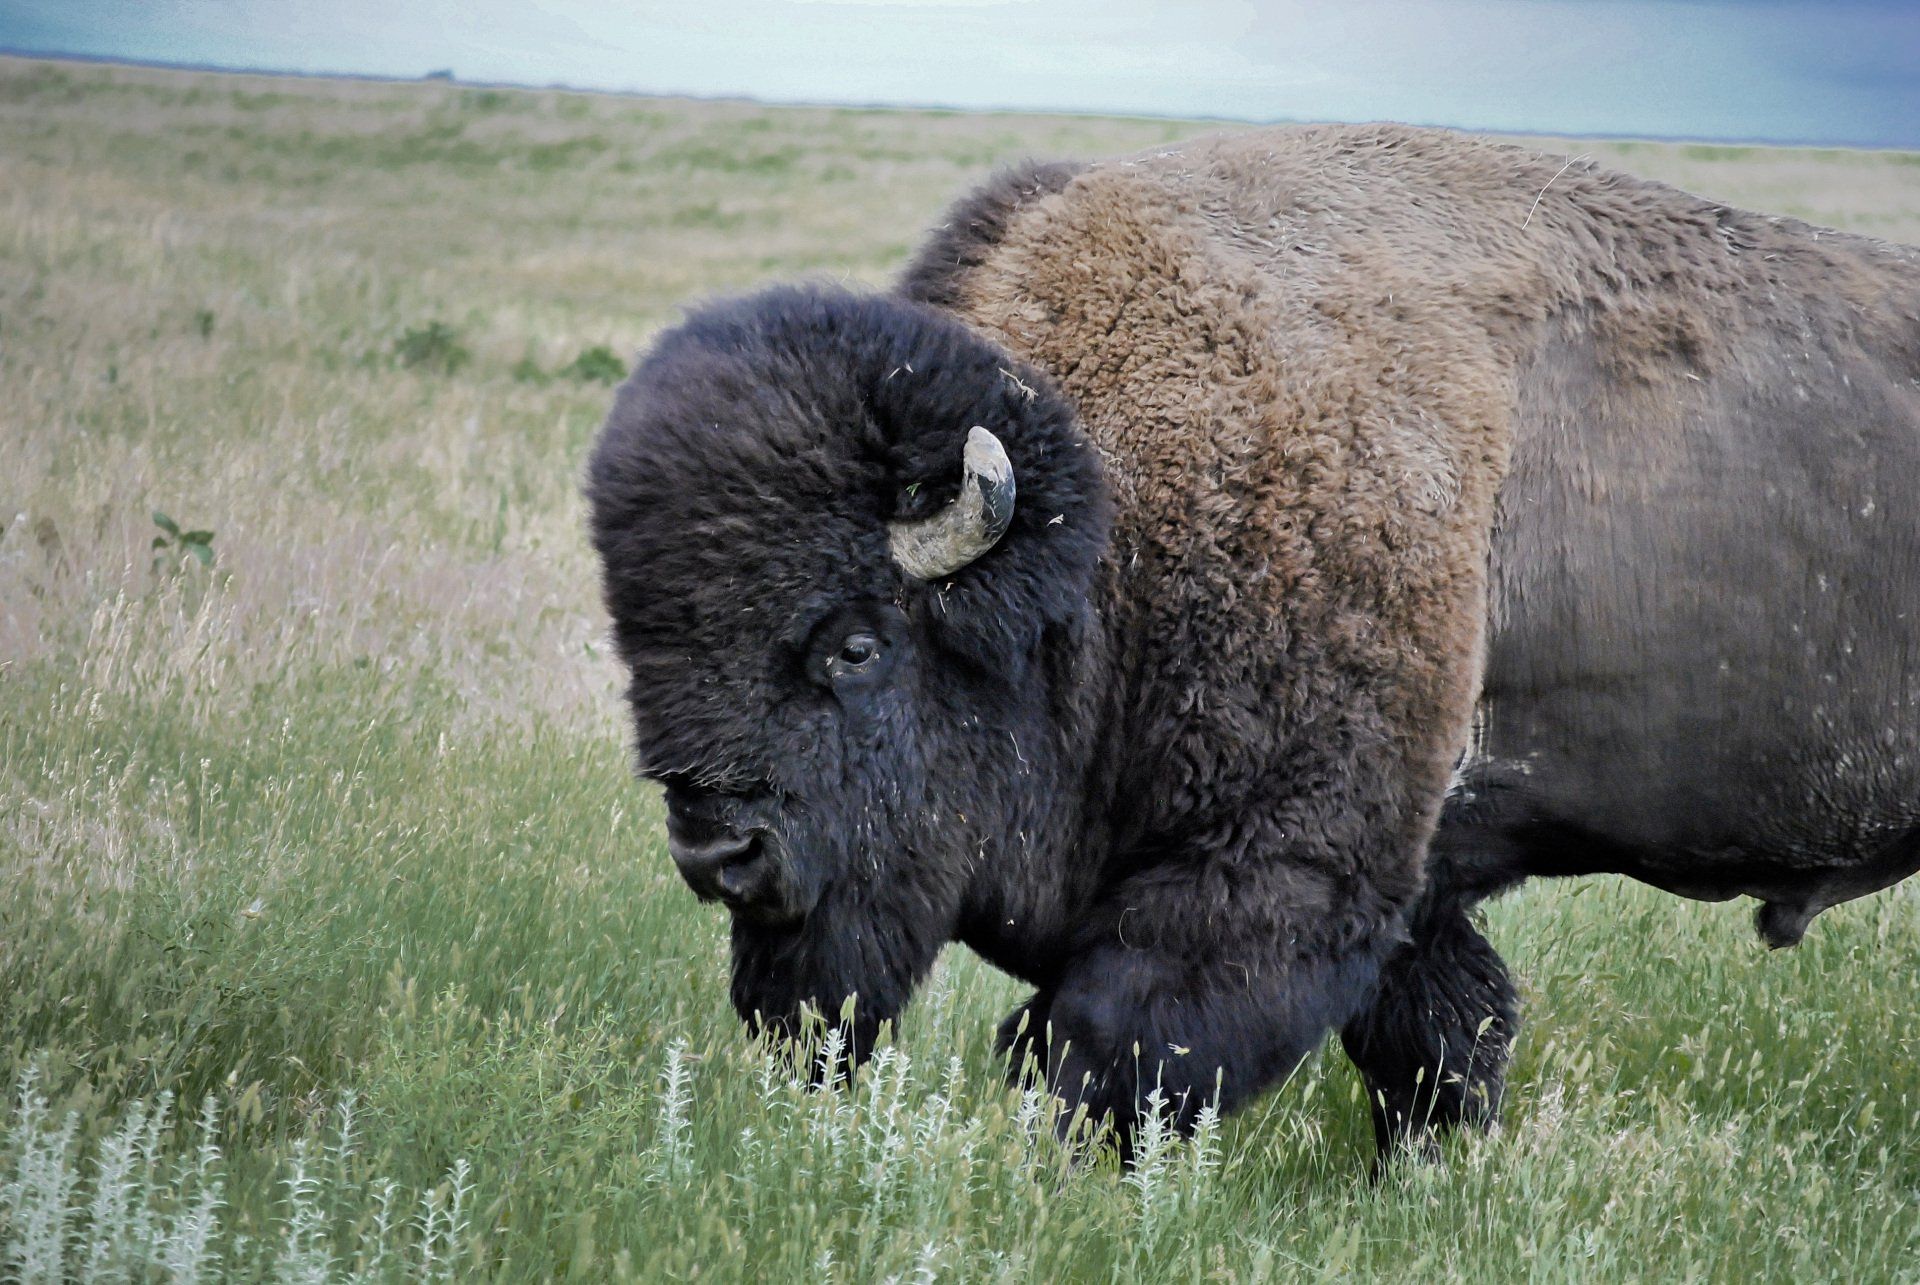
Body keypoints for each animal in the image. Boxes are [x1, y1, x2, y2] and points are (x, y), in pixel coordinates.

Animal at [587, 125, 1920, 1159]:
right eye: (640, 643)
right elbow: (1444, 1041)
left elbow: (1102, 1052)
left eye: (858, 645)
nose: (718, 851)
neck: (1113, 525)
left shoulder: (1275, 867)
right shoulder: (1410, 886)